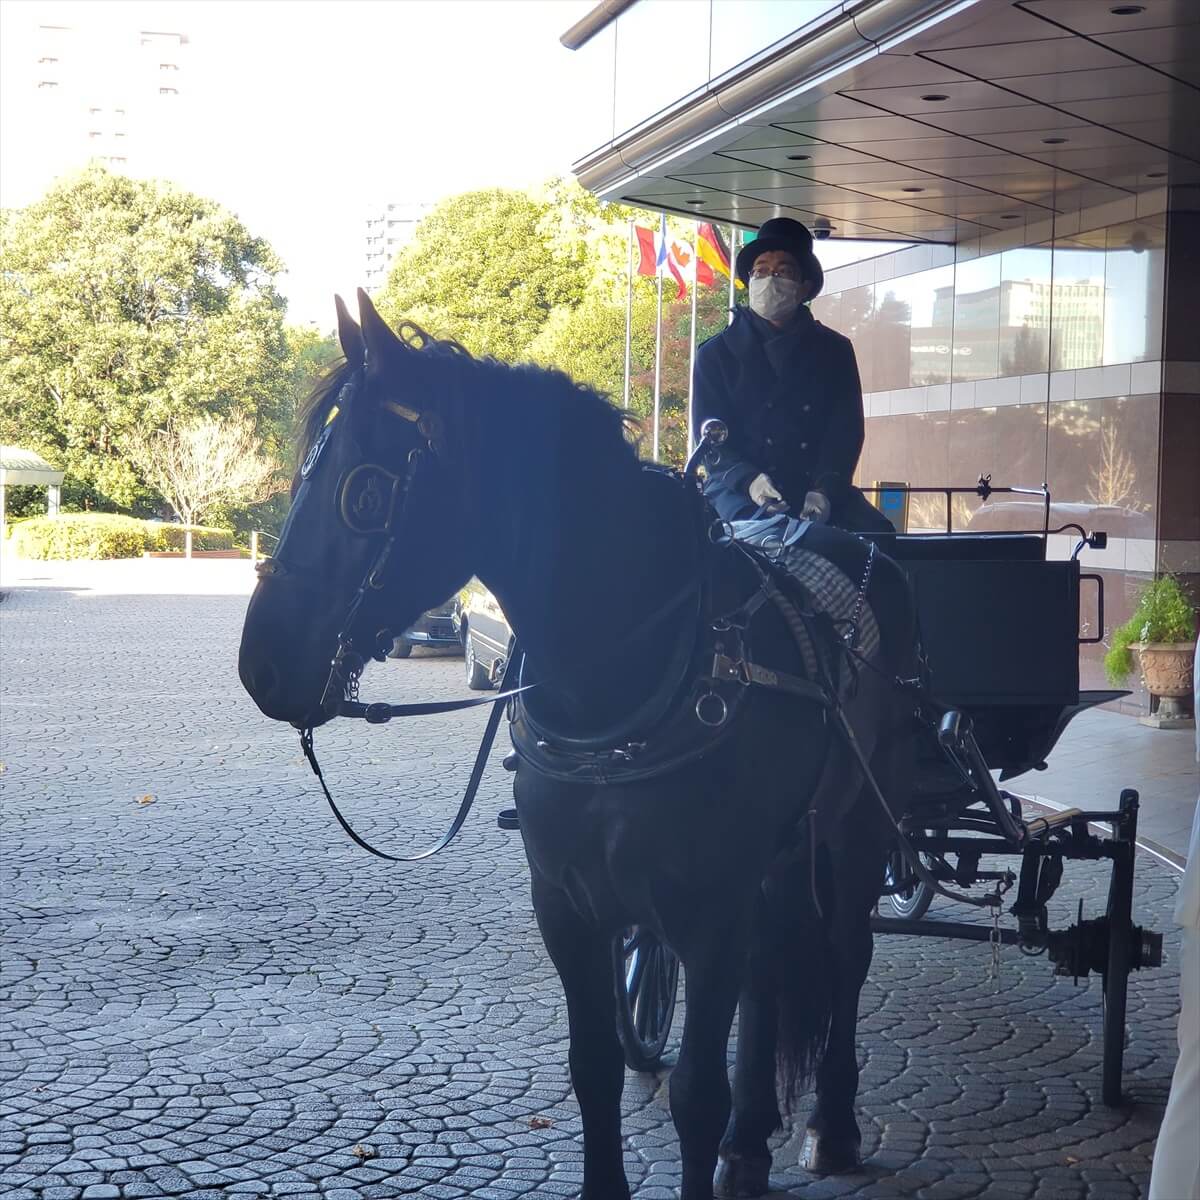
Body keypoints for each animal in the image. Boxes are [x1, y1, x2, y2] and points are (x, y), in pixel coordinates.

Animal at [241, 292, 916, 1200]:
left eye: (367, 495)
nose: (261, 663)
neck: (627, 678)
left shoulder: (708, 916)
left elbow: (694, 1095)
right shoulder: (568, 906)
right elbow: (593, 1067)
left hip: (858, 830)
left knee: (845, 954)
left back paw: (831, 1123)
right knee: (772, 970)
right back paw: (751, 1138)